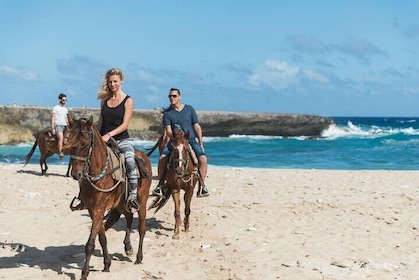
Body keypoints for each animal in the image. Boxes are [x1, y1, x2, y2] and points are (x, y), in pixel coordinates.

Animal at [63, 116, 152, 280]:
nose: (75, 174)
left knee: (142, 228)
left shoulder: (99, 209)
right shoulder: (93, 210)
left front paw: (84, 273)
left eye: (84, 144)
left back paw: (138, 257)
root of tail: (144, 157)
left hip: (142, 202)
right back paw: (128, 247)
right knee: (128, 217)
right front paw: (107, 264)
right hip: (119, 205)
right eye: (70, 143)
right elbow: (102, 236)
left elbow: (90, 244)